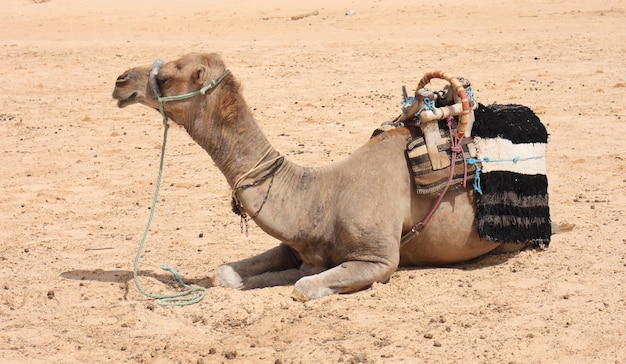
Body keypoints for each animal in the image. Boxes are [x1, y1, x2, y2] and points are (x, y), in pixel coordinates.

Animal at [112, 52, 564, 300]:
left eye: (166, 76)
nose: (120, 81)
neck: (322, 196)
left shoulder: (379, 259)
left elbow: (303, 287)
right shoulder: (298, 245)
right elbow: (229, 274)